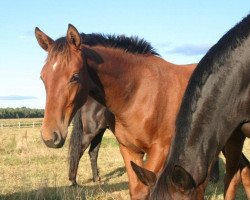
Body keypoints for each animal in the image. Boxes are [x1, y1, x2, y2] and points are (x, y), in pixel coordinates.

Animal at [35, 24, 195, 199]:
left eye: (75, 77)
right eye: (43, 77)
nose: (50, 137)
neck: (140, 91)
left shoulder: (160, 150)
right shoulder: (129, 149)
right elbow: (137, 190)